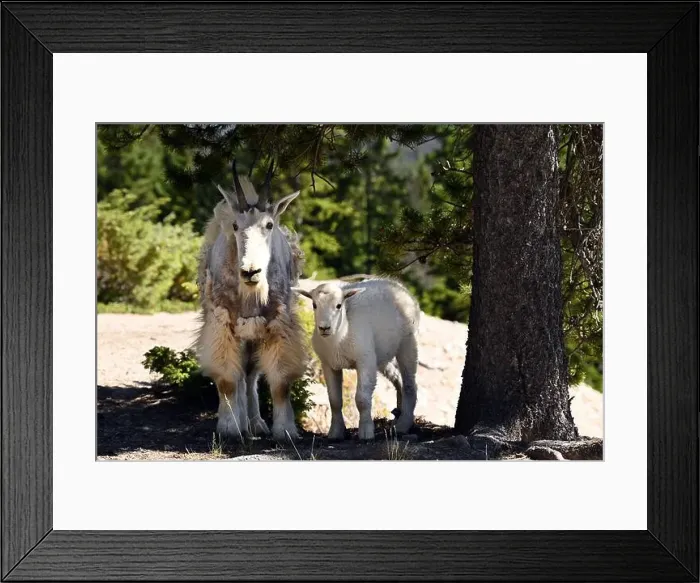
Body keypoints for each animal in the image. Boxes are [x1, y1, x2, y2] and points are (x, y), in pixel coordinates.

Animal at [293, 278, 421, 441]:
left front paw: (366, 431)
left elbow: (362, 399)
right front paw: (336, 432)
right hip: (380, 355)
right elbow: (334, 400)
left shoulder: (364, 360)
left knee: (410, 383)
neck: (340, 336)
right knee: (398, 380)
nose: (324, 328)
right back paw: (398, 415)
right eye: (314, 304)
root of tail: (397, 285)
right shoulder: (329, 364)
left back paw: (403, 424)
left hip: (407, 342)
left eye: (339, 305)